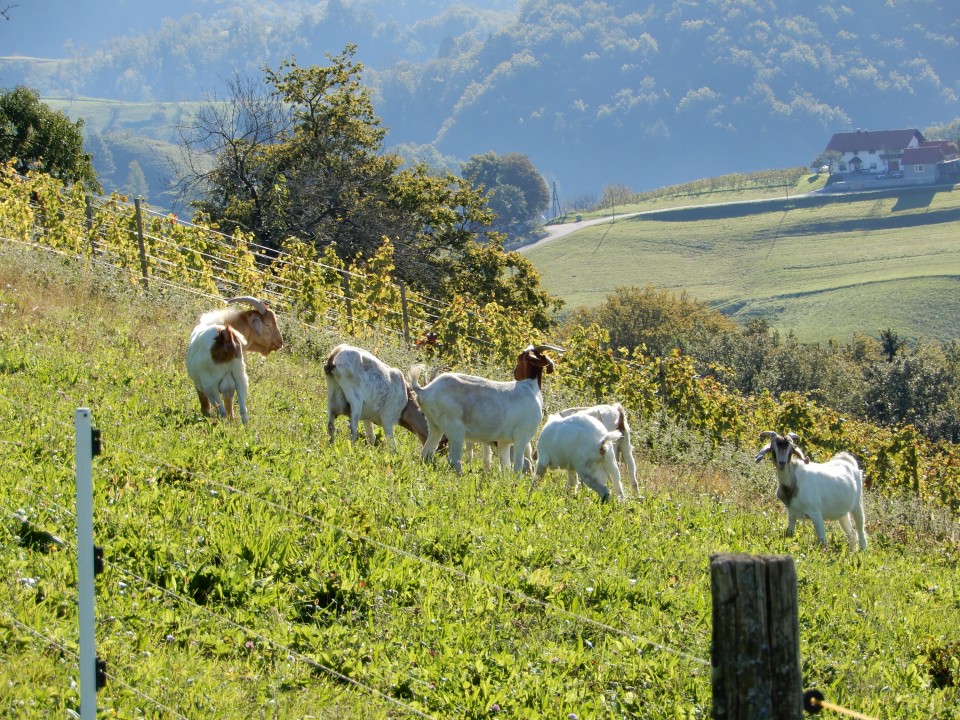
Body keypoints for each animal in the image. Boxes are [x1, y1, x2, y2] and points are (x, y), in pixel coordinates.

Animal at [410, 346, 568, 476]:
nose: (515, 373)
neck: (530, 387)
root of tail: (425, 390)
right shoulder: (521, 437)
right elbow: (518, 466)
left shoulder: (504, 441)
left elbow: (506, 467)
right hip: (455, 430)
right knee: (454, 460)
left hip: (434, 426)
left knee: (426, 454)